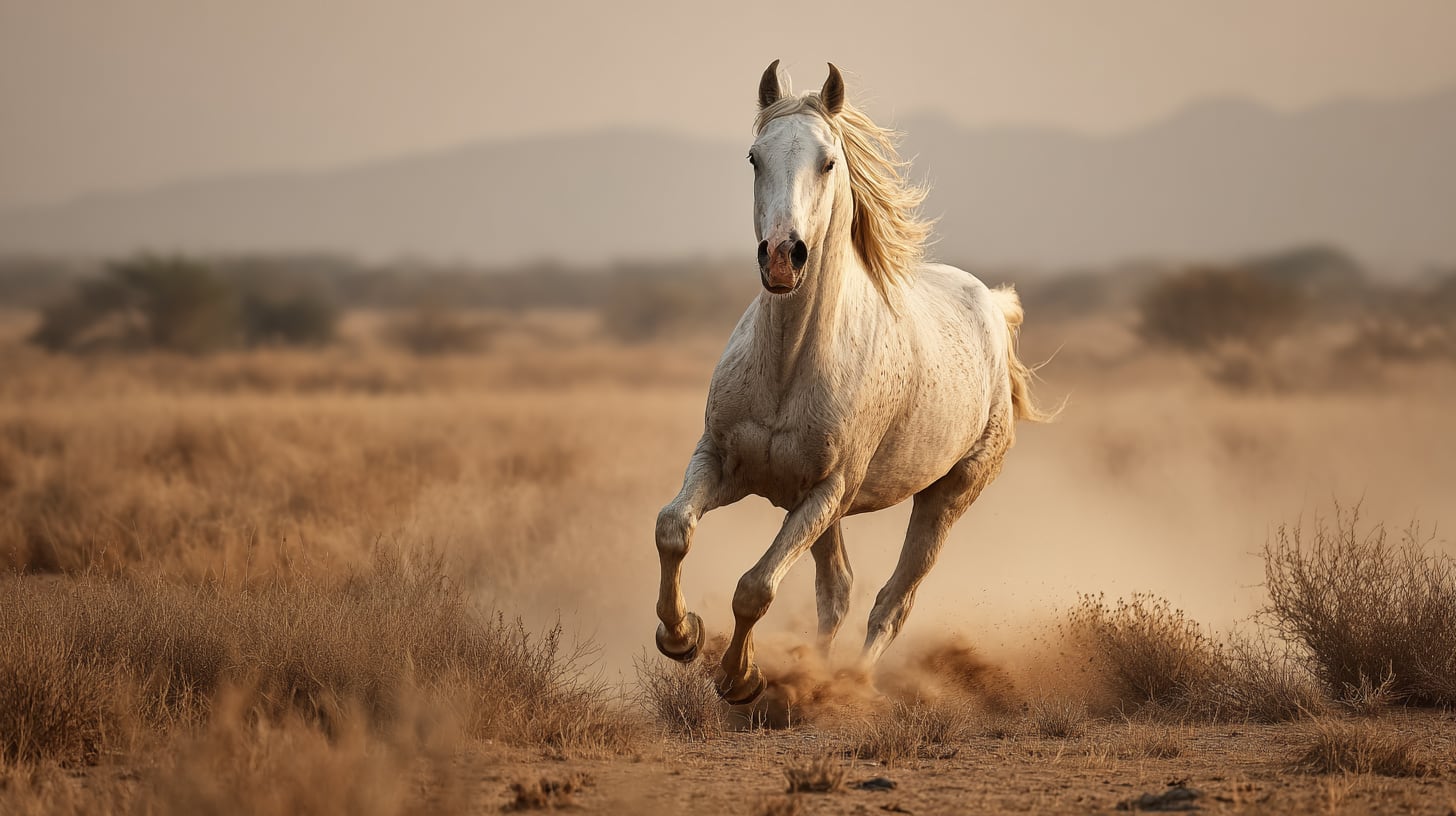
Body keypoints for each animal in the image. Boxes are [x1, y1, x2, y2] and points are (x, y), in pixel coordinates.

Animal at [652, 60, 1050, 705]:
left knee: (892, 602)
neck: (788, 367)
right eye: (754, 157)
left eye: (828, 162)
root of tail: (992, 305)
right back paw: (811, 676)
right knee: (838, 592)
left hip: (944, 498)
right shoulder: (724, 462)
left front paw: (740, 678)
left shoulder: (828, 490)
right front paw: (681, 636)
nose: (782, 256)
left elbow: (755, 587)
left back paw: (847, 685)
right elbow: (674, 529)